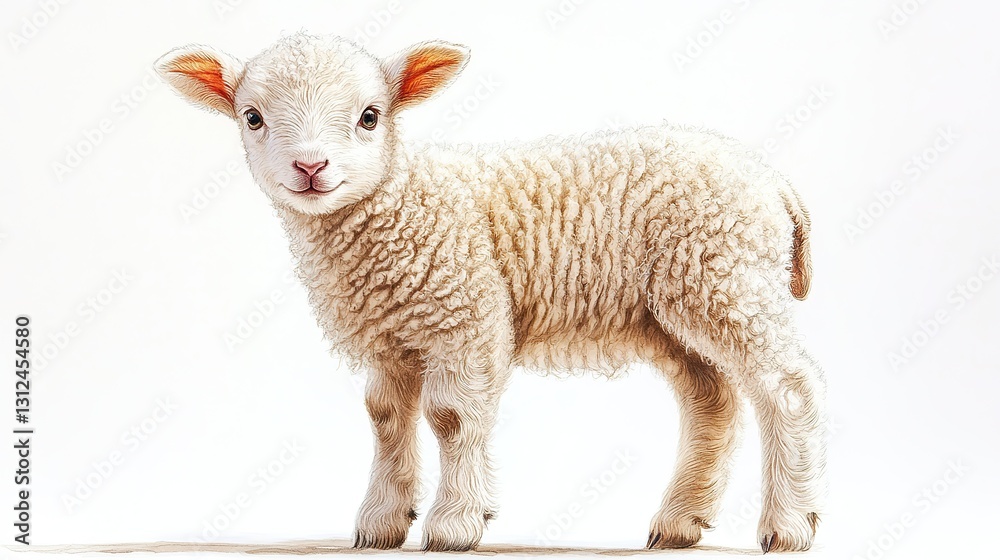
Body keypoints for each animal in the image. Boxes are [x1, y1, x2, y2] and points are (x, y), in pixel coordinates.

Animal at [156, 32, 825, 553]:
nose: (311, 167)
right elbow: (385, 418)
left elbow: (451, 417)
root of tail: (773, 181)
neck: (401, 201)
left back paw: (789, 525)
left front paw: (455, 525)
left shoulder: (467, 316)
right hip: (672, 309)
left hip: (726, 276)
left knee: (788, 386)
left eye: (370, 116)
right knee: (712, 400)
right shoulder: (390, 337)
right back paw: (680, 522)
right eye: (253, 117)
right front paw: (382, 523)